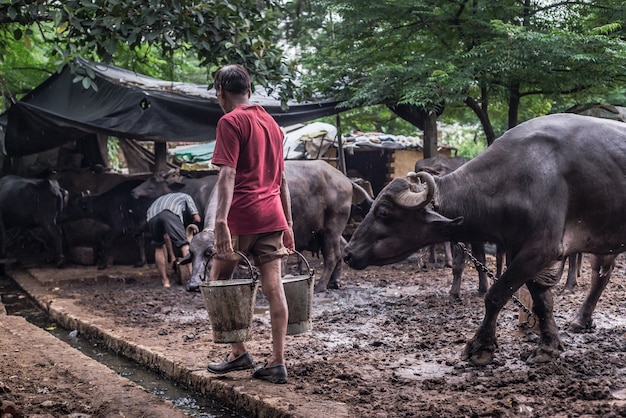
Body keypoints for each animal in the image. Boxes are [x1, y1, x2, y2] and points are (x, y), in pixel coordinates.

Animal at [178, 158, 358, 292]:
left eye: (209, 253)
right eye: (192, 253)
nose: (193, 285)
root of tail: (344, 178)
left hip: (331, 228)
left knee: (332, 255)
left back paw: (320, 286)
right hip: (330, 230)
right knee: (341, 249)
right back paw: (334, 282)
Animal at [344, 113, 624, 366]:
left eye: (383, 212)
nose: (348, 253)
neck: (516, 179)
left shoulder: (540, 250)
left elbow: (495, 295)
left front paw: (480, 348)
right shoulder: (521, 250)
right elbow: (543, 303)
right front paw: (548, 346)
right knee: (601, 276)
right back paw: (581, 320)